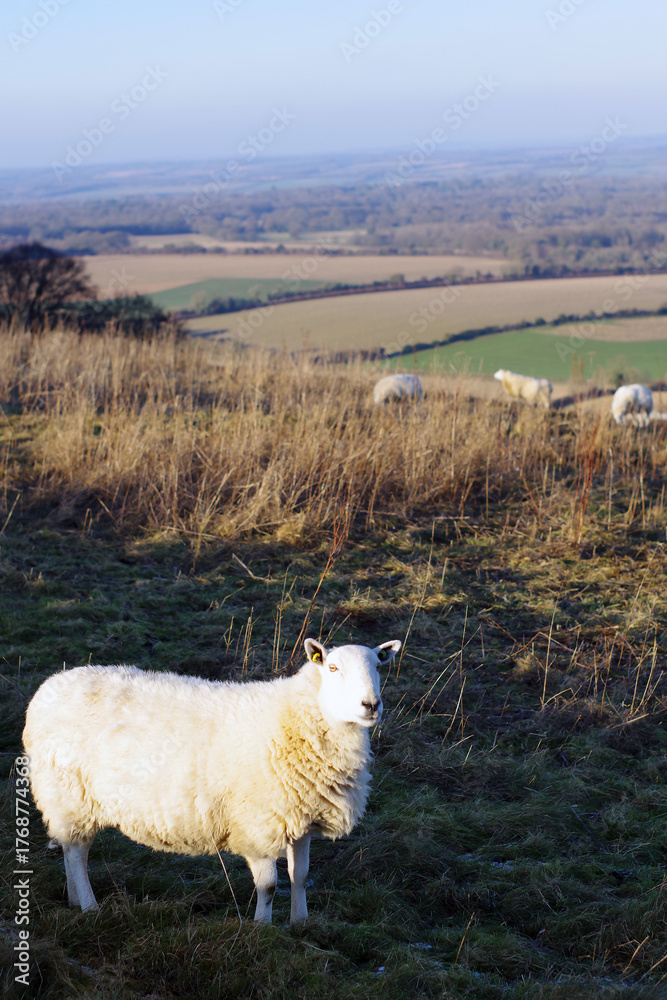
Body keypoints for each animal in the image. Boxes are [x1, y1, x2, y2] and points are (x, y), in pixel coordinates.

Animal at [22, 637, 401, 924]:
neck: (293, 720)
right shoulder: (257, 824)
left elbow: (301, 877)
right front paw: (262, 929)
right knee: (77, 852)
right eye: (333, 668)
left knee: (71, 848)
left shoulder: (300, 818)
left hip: (68, 800)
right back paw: (89, 906)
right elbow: (268, 885)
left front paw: (301, 924)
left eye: (378, 665)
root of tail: (49, 686)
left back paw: (74, 901)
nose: (371, 705)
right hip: (70, 795)